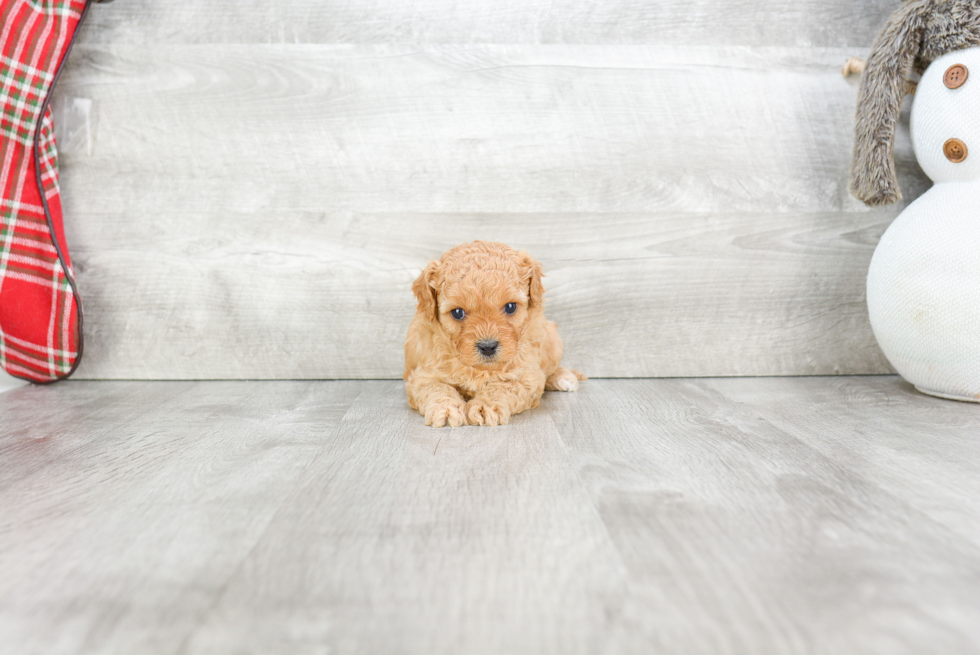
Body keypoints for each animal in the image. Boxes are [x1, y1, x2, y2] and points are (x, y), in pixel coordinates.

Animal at [404, 238, 580, 428]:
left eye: (510, 307)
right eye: (457, 312)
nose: (488, 347)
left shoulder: (527, 376)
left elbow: (503, 387)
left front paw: (485, 406)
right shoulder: (422, 376)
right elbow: (437, 388)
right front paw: (445, 409)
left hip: (552, 340)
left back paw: (564, 378)